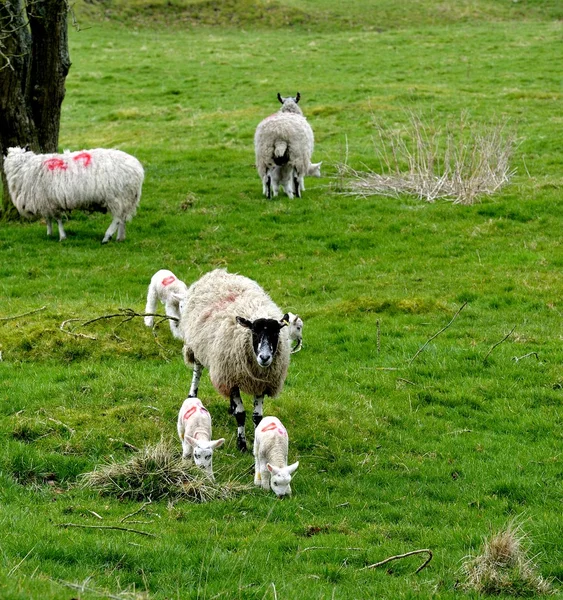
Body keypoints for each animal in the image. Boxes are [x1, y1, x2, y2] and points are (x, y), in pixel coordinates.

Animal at [3, 146, 144, 243]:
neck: (24, 167)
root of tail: (138, 169)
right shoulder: (45, 202)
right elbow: (48, 219)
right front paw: (49, 234)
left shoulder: (51, 202)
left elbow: (58, 219)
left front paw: (61, 236)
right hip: (126, 198)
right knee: (122, 219)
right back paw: (120, 237)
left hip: (117, 196)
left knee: (117, 218)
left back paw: (107, 237)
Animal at [181, 270, 294, 452]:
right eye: (254, 332)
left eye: (276, 333)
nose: (264, 357)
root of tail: (218, 272)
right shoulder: (230, 378)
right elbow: (241, 414)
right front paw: (241, 444)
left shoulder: (261, 383)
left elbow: (257, 416)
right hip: (196, 344)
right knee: (197, 370)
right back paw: (192, 394)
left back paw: (230, 407)